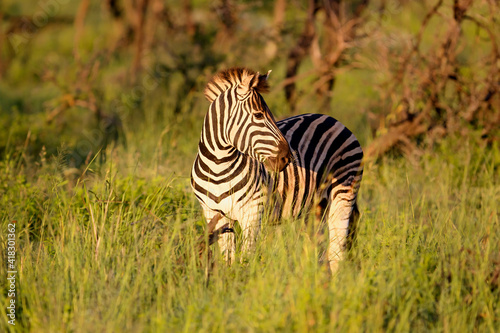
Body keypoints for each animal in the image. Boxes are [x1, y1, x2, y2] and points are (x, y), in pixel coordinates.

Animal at [191, 67, 364, 272]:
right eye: (258, 115)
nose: (287, 157)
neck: (218, 167)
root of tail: (333, 119)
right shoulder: (214, 213)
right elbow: (229, 260)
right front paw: (229, 279)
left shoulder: (252, 212)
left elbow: (246, 259)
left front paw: (244, 279)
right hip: (316, 206)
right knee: (320, 251)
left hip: (344, 191)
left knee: (338, 250)